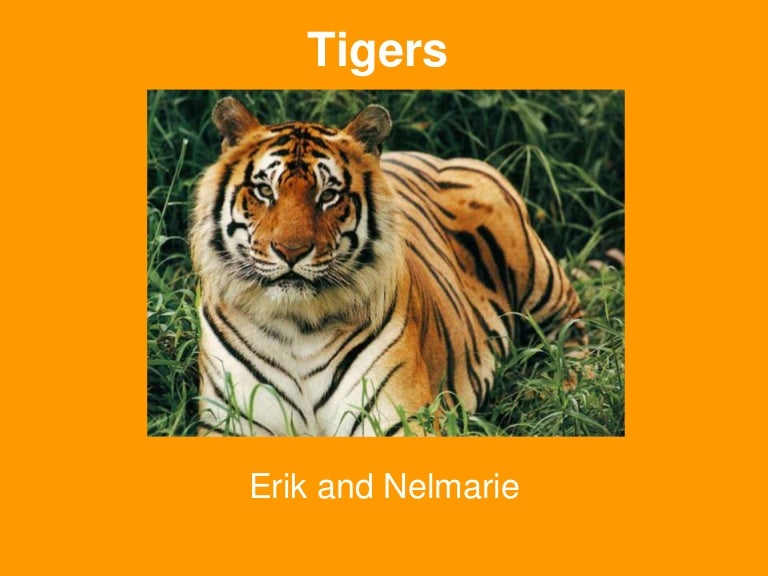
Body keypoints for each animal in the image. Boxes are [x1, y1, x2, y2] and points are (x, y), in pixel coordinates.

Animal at [190, 96, 586, 436]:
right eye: (264, 191)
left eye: (328, 195)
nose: (291, 251)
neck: (296, 327)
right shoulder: (230, 423)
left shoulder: (399, 419)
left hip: (537, 276)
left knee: (572, 327)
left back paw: (564, 390)